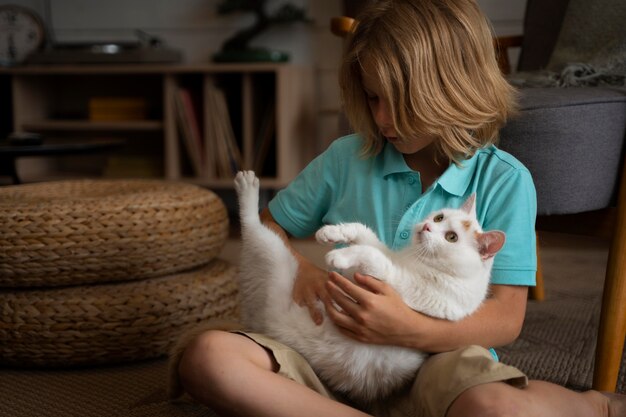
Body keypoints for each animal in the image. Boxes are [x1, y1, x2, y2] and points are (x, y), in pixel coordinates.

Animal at [233, 170, 502, 404]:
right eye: (439, 217)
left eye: (451, 238)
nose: (426, 227)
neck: (419, 261)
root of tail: (263, 324)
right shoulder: (390, 256)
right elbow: (365, 232)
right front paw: (331, 232)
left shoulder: (396, 280)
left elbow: (371, 254)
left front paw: (339, 256)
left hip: (277, 258)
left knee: (253, 228)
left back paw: (248, 189)